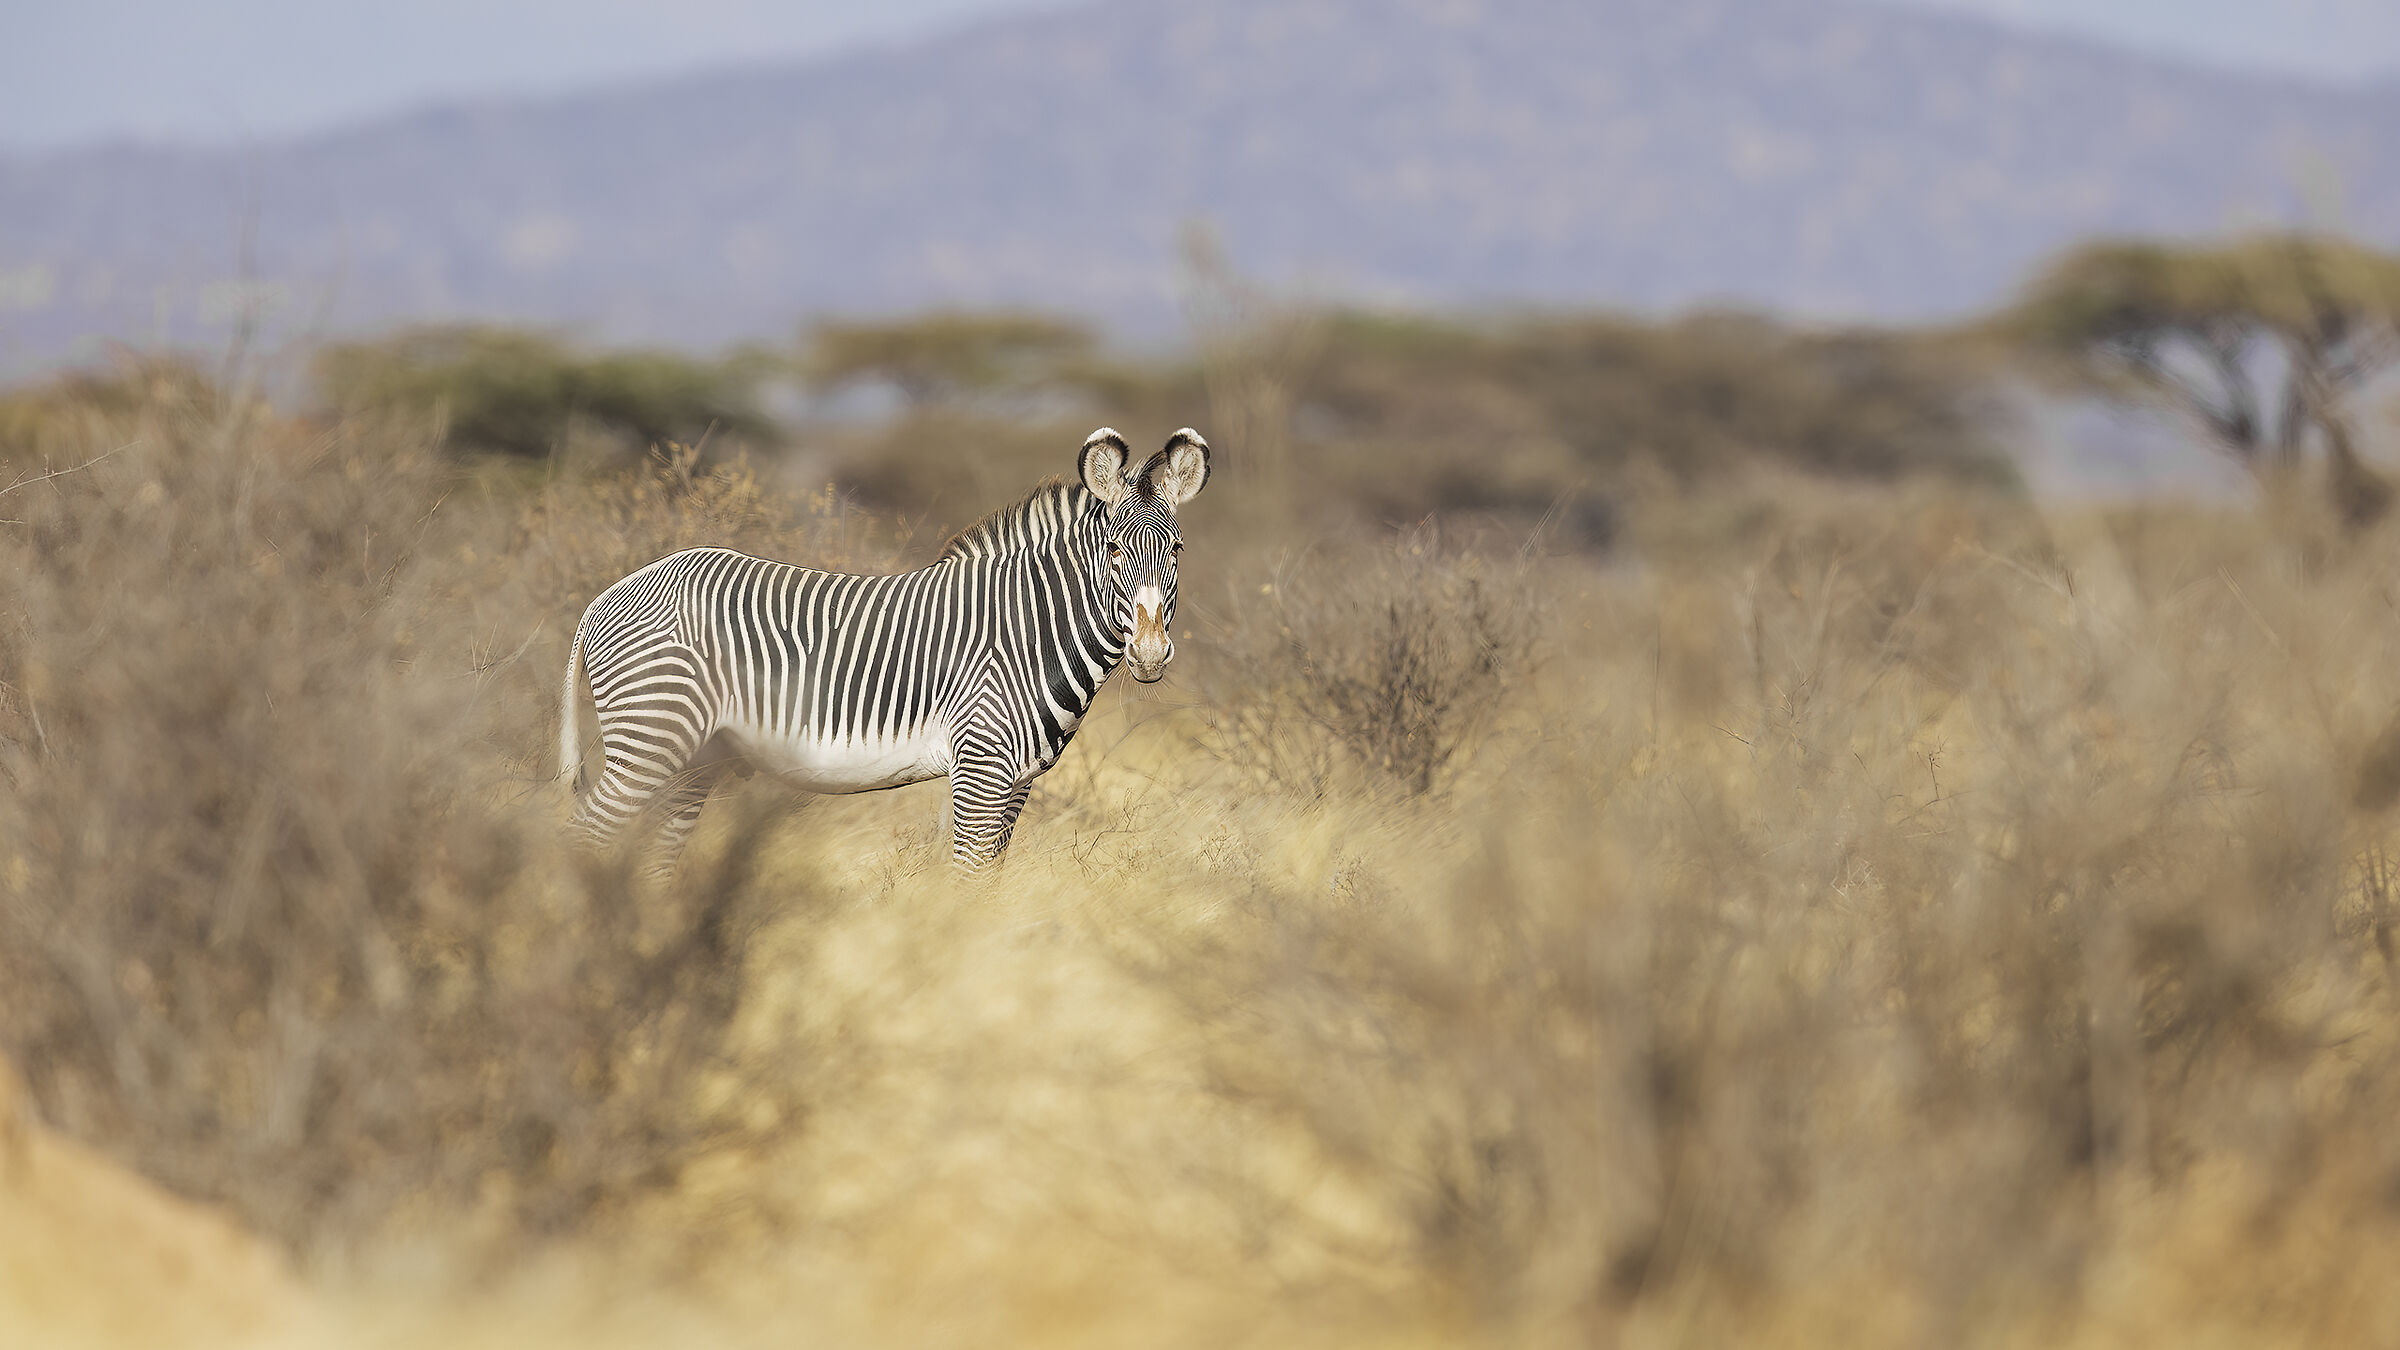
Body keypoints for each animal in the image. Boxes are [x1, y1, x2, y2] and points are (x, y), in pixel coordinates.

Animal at [558, 427, 1209, 870]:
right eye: (1114, 549)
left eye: (1178, 549)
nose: (1151, 654)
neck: (1031, 629)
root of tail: (608, 596)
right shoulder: (981, 765)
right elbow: (967, 876)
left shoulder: (1018, 782)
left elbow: (990, 879)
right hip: (651, 738)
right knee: (586, 834)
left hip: (693, 759)